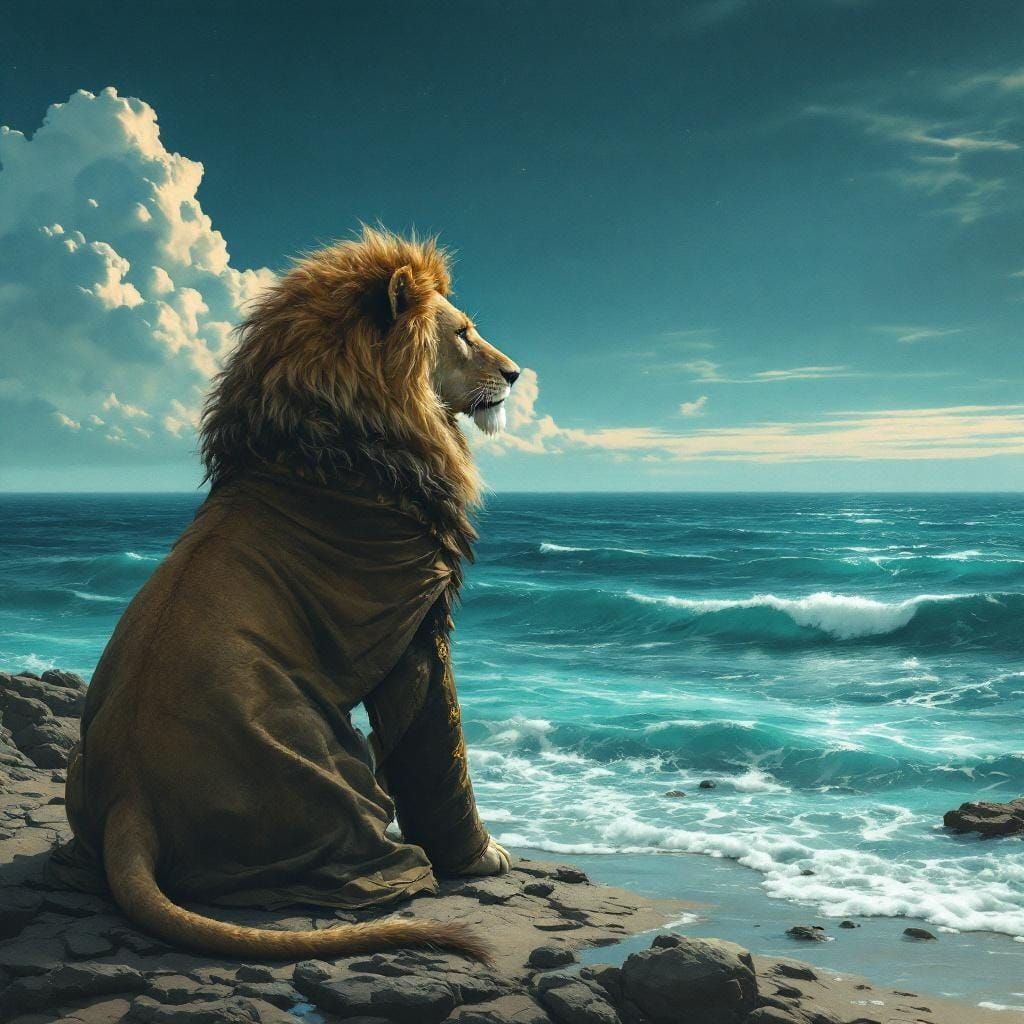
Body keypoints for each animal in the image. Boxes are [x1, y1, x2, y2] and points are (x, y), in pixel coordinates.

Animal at [48, 227, 521, 964]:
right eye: (464, 334)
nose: (517, 374)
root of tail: (130, 800)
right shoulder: (418, 620)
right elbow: (440, 746)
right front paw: (480, 856)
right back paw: (394, 862)